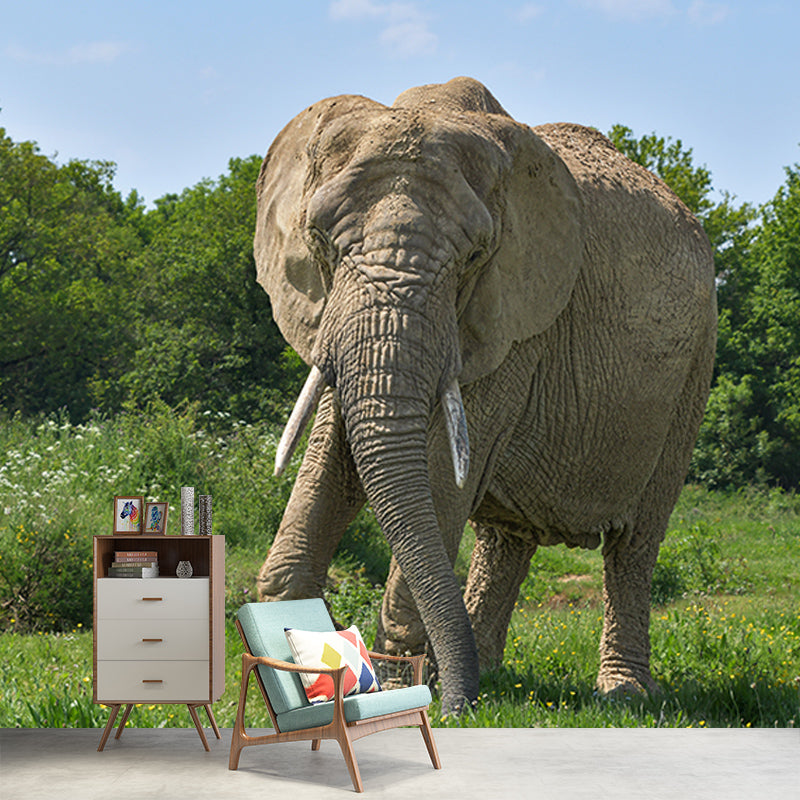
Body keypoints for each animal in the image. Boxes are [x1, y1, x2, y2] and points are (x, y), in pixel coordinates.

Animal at [253, 77, 717, 712]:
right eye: (320, 239)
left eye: (475, 256)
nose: (456, 704)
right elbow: (333, 457)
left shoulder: (514, 318)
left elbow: (439, 473)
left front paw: (407, 691)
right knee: (507, 541)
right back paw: (490, 677)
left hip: (693, 369)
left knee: (634, 544)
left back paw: (622, 694)